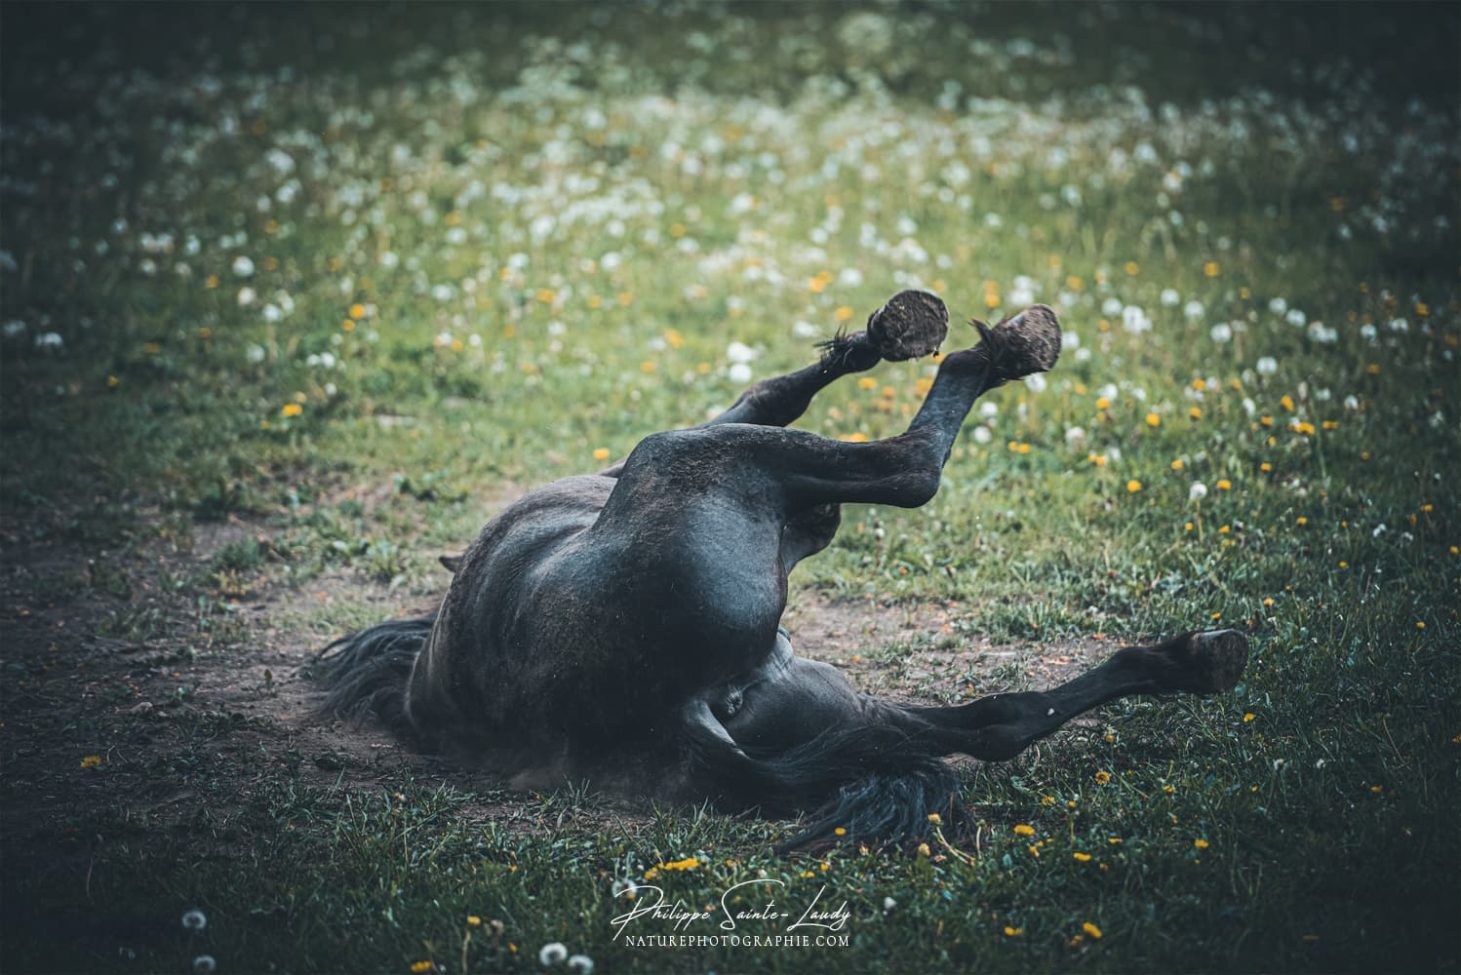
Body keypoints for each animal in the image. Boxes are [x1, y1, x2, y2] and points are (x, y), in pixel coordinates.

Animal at [316, 290, 1249, 851]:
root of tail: (669, 704)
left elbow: (780, 385)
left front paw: (879, 334)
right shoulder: (723, 437)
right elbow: (781, 392)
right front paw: (897, 332)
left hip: (831, 702)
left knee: (998, 719)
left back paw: (1195, 658)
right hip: (710, 460)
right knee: (911, 467)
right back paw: (1005, 351)